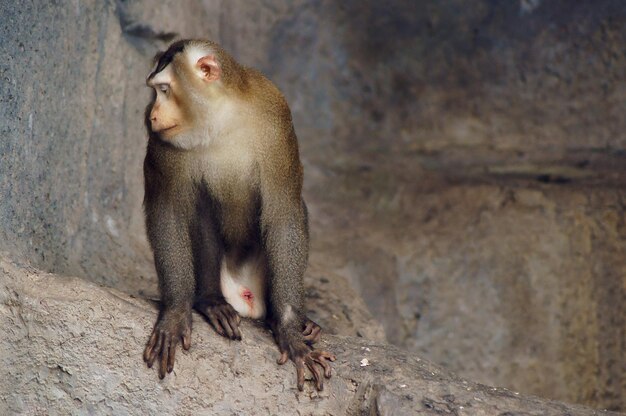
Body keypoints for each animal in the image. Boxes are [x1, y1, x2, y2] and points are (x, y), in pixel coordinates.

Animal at [140, 39, 334, 390]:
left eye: (164, 89)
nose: (153, 114)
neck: (220, 119)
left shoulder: (275, 116)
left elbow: (284, 214)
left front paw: (290, 331)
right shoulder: (163, 144)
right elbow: (169, 212)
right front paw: (175, 312)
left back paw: (286, 319)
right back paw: (211, 301)